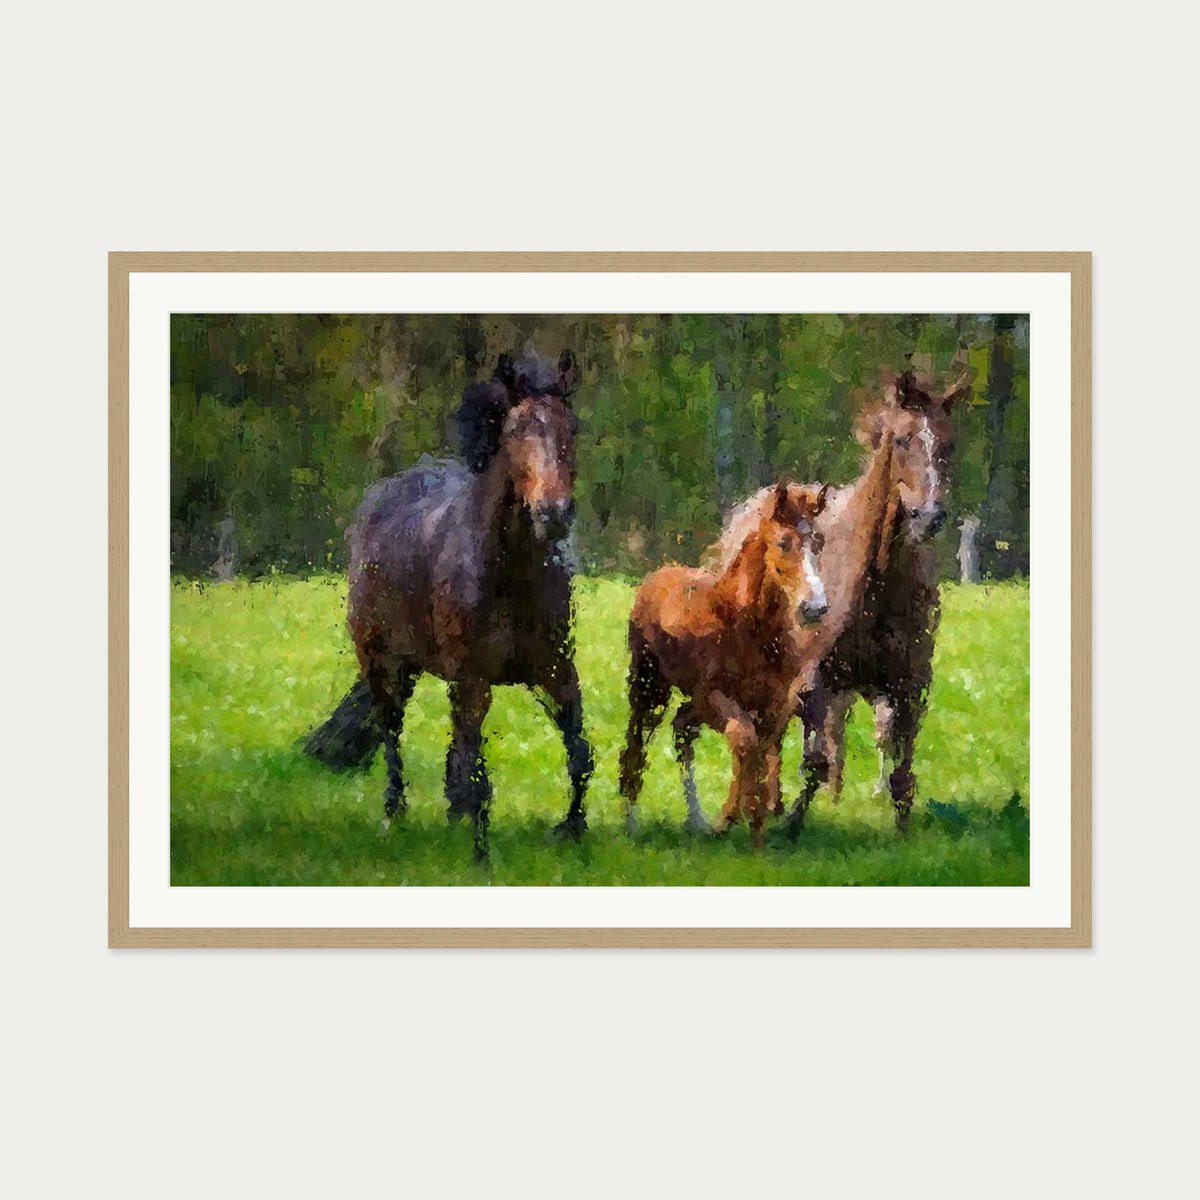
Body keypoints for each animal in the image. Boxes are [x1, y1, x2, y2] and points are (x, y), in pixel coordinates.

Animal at [303, 350, 592, 860]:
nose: (554, 514)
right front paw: (480, 854)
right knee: (392, 731)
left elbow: (579, 752)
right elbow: (476, 770)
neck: (509, 575)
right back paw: (394, 813)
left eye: (571, 427)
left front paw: (572, 831)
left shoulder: (555, 668)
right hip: (383, 662)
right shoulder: (473, 677)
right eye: (515, 431)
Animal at [619, 480, 830, 847]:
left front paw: (755, 827)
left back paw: (696, 820)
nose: (815, 607)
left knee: (682, 729)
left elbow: (761, 753)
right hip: (649, 688)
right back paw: (633, 824)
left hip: (688, 702)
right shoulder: (713, 697)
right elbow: (744, 741)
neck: (748, 626)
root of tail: (658, 575)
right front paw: (730, 819)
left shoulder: (775, 704)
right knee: (637, 743)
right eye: (783, 543)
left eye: (819, 542)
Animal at [711, 365, 970, 834]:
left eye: (949, 441)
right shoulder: (816, 680)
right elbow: (812, 759)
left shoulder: (910, 684)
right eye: (902, 439)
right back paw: (774, 804)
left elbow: (900, 769)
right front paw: (791, 824)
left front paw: (902, 831)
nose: (929, 517)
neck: (877, 585)